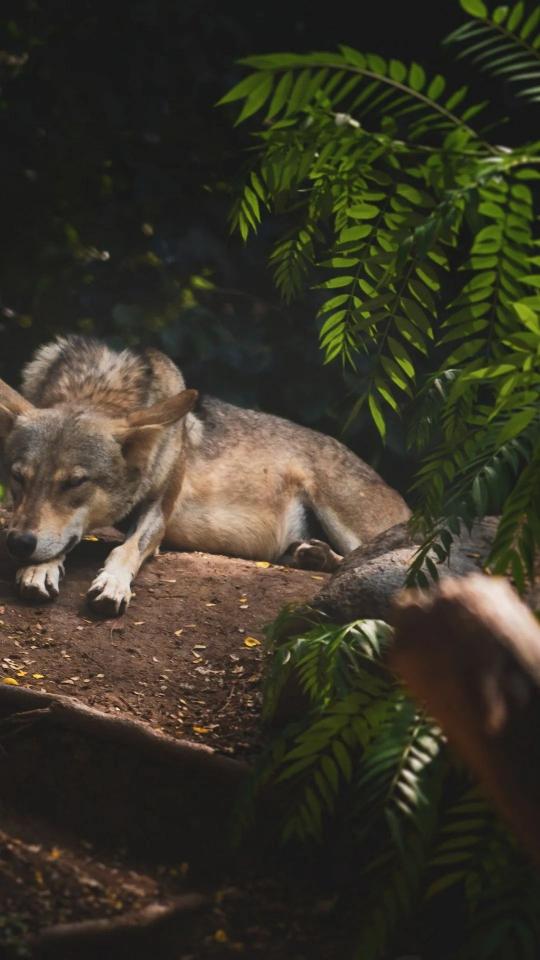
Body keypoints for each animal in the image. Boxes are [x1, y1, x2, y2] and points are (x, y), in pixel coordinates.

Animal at [0, 336, 410, 615]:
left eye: (75, 482)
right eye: (19, 477)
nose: (18, 542)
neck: (102, 388)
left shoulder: (158, 513)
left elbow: (124, 549)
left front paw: (112, 583)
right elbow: (60, 542)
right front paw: (39, 570)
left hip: (346, 517)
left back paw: (317, 555)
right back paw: (309, 554)